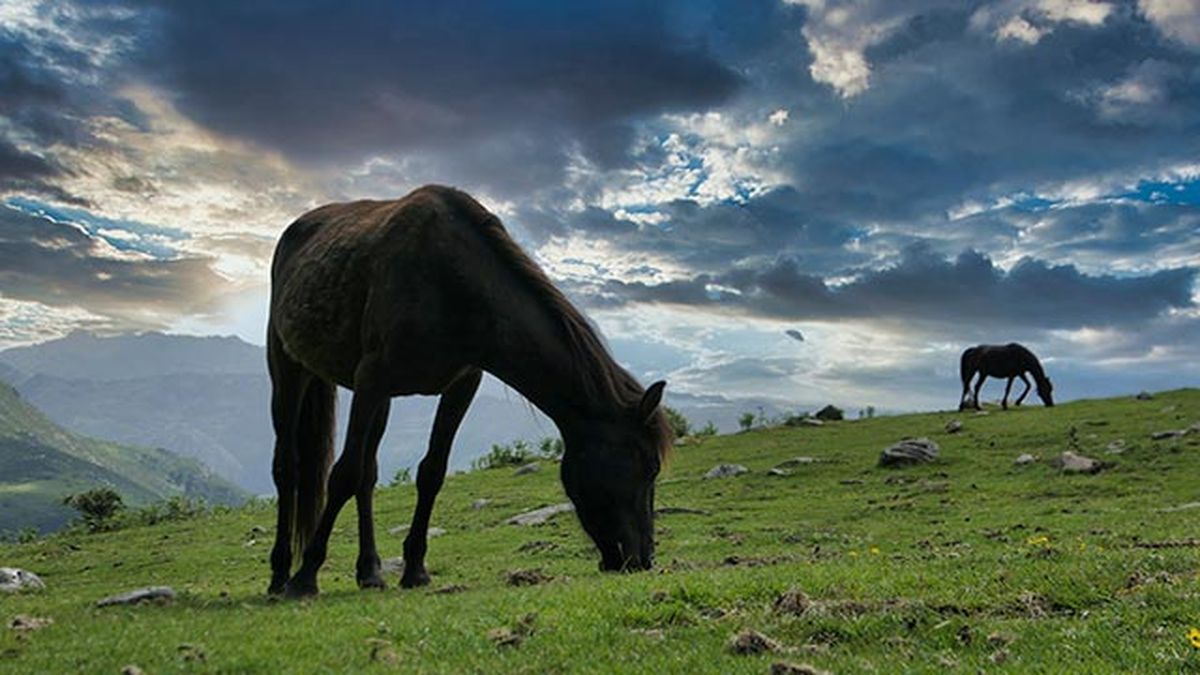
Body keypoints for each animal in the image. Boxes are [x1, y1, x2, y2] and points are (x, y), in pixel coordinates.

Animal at [266, 185, 672, 598]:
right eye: (650, 467)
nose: (642, 560)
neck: (453, 282)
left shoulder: (460, 386)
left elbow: (431, 473)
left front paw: (415, 570)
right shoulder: (370, 379)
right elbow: (343, 474)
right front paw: (306, 576)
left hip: (382, 400)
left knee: (368, 476)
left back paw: (370, 572)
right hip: (289, 369)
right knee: (289, 466)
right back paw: (281, 574)